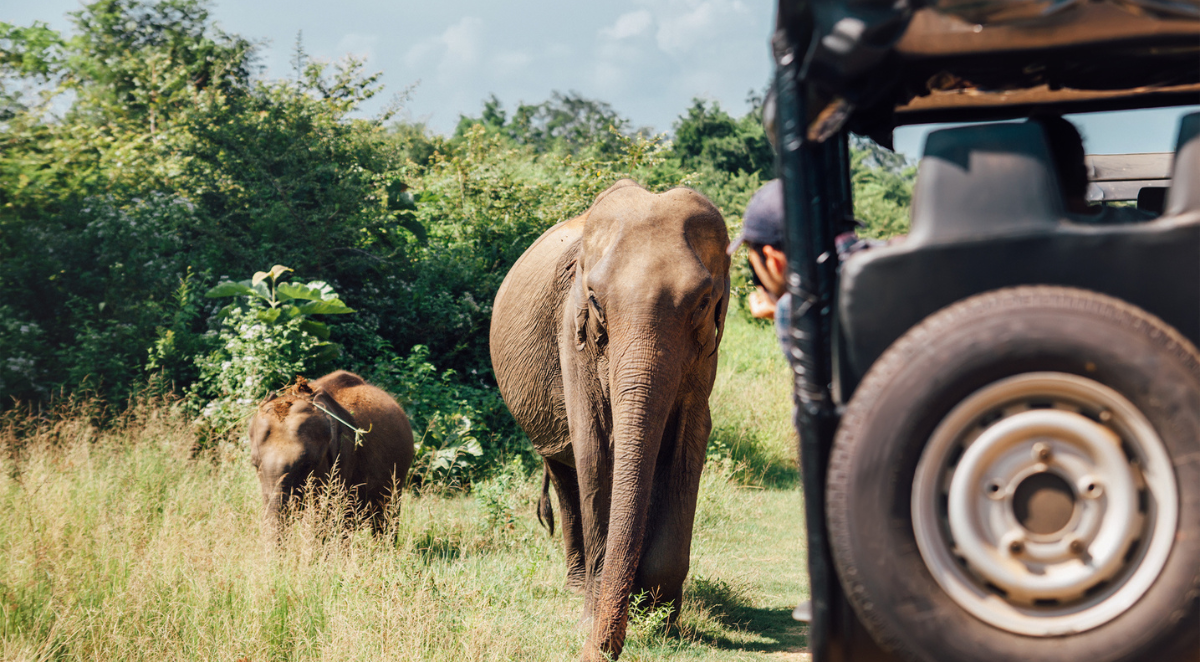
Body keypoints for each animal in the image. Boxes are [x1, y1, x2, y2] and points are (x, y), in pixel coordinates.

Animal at [490, 179, 730, 661]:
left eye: (702, 303)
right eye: (597, 300)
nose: (592, 652)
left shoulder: (705, 352)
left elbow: (688, 439)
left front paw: (663, 623)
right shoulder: (574, 333)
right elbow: (594, 445)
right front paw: (596, 617)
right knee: (565, 475)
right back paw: (576, 587)